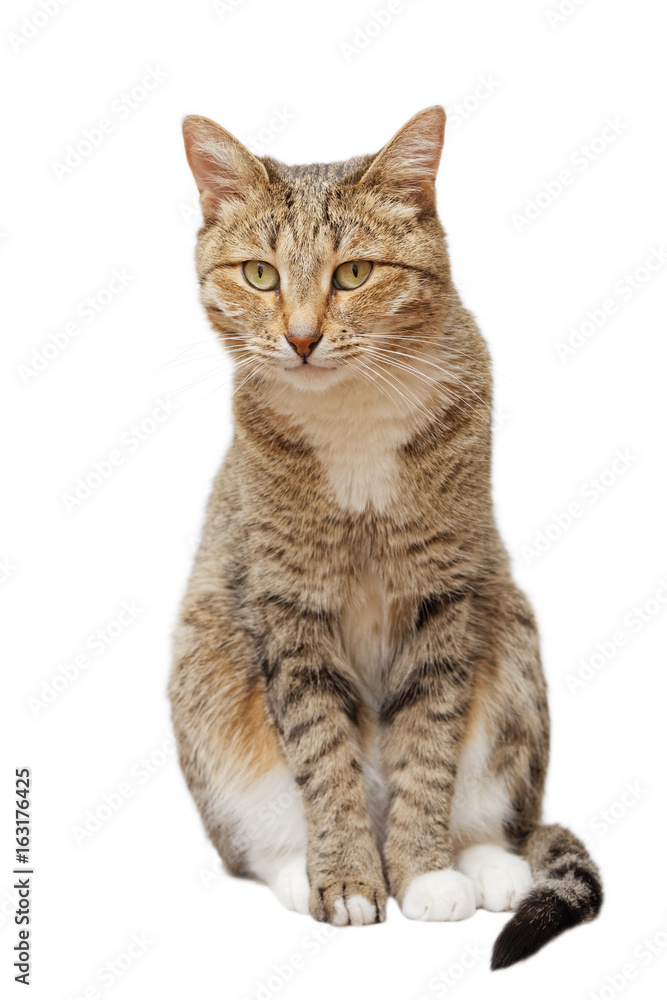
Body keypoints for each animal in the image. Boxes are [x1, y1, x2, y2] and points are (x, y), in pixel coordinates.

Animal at [168, 107, 604, 968]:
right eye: (259, 275)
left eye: (354, 274)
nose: (302, 339)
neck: (350, 414)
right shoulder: (287, 604)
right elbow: (320, 754)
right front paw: (345, 882)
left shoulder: (445, 593)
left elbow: (428, 745)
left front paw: (424, 872)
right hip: (205, 666)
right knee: (260, 828)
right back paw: (299, 869)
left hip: (511, 647)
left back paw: (486, 865)